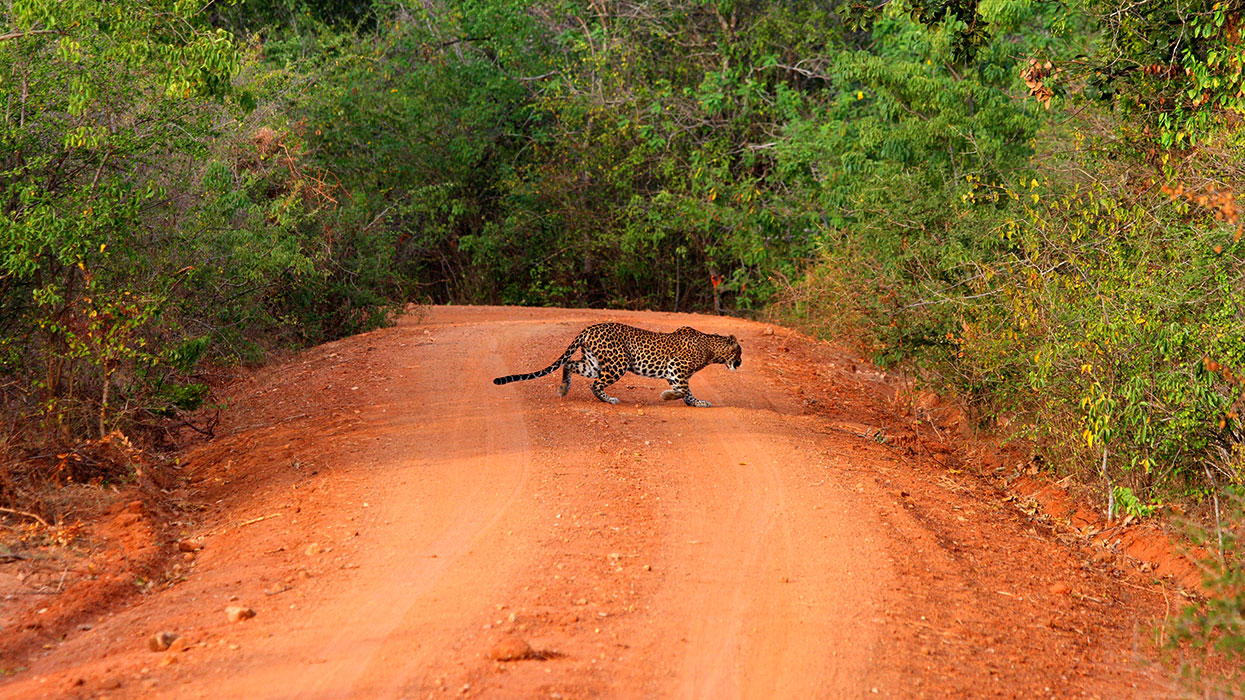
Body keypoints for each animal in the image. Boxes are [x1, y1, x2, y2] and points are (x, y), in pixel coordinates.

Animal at [490, 321, 737, 403]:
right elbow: (683, 389)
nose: (741, 363)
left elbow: (685, 391)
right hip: (619, 362)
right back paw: (610, 400)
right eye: (740, 353)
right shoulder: (677, 368)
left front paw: (695, 402)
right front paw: (670, 397)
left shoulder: (674, 372)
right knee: (595, 384)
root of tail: (589, 328)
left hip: (592, 363)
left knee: (570, 365)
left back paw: (563, 389)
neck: (712, 348)